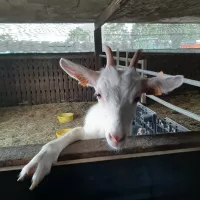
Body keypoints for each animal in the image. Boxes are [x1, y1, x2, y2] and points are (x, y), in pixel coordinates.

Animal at [17, 44, 184, 190]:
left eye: (137, 97)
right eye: (98, 94)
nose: (116, 137)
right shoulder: (87, 132)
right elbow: (73, 132)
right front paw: (39, 162)